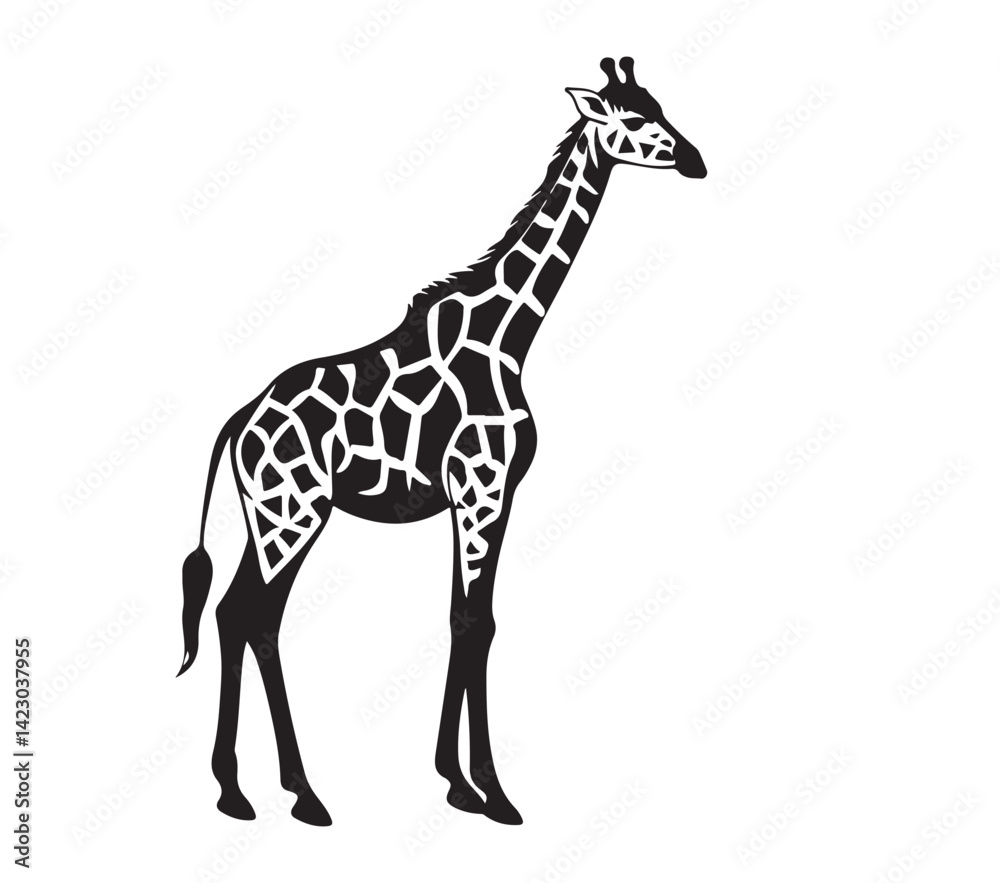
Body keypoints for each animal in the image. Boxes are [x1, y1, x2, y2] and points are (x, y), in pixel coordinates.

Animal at [177, 57, 705, 827]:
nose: (695, 160)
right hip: (292, 512)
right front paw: (492, 790)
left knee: (236, 613)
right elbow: (477, 621)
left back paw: (247, 788)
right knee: (255, 614)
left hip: (270, 513)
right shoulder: (483, 487)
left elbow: (463, 618)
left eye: (661, 105)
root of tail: (239, 419)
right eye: (634, 118)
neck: (507, 335)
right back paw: (288, 791)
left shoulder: (484, 494)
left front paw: (456, 783)